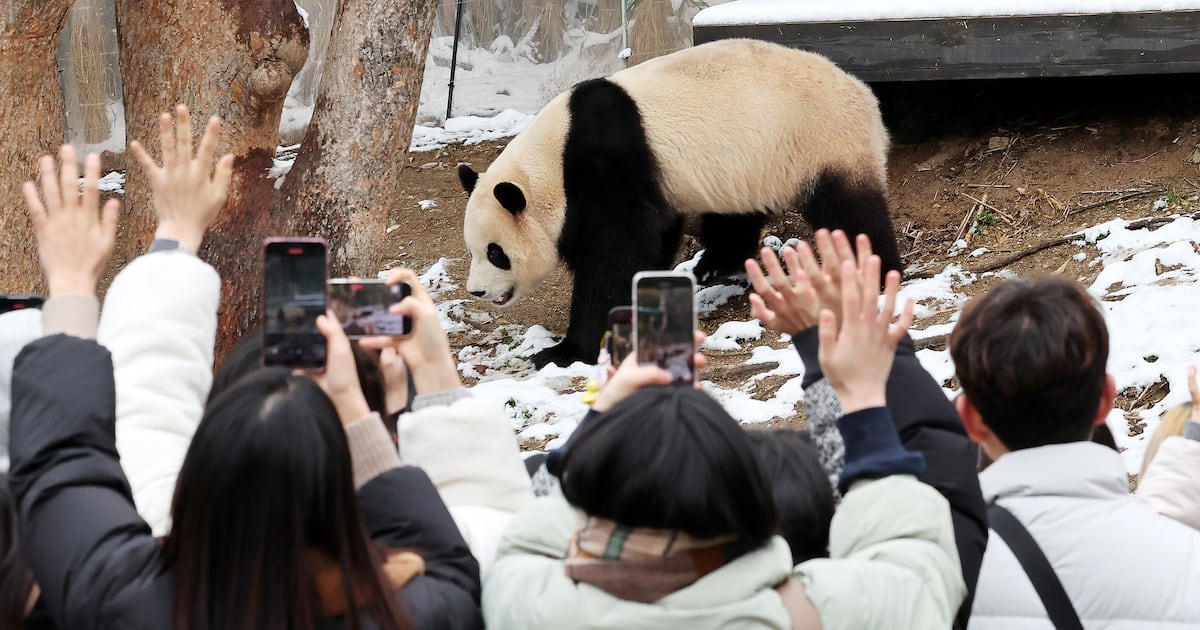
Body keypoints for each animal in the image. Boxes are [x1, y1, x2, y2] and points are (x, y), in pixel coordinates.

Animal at [457, 38, 901, 368]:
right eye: (473, 250)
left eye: (496, 252)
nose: (477, 291)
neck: (550, 163)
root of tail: (865, 94)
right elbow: (652, 238)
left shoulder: (604, 168)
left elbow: (615, 257)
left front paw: (565, 351)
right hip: (744, 165)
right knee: (733, 216)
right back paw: (714, 265)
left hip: (823, 141)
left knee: (850, 212)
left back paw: (874, 272)